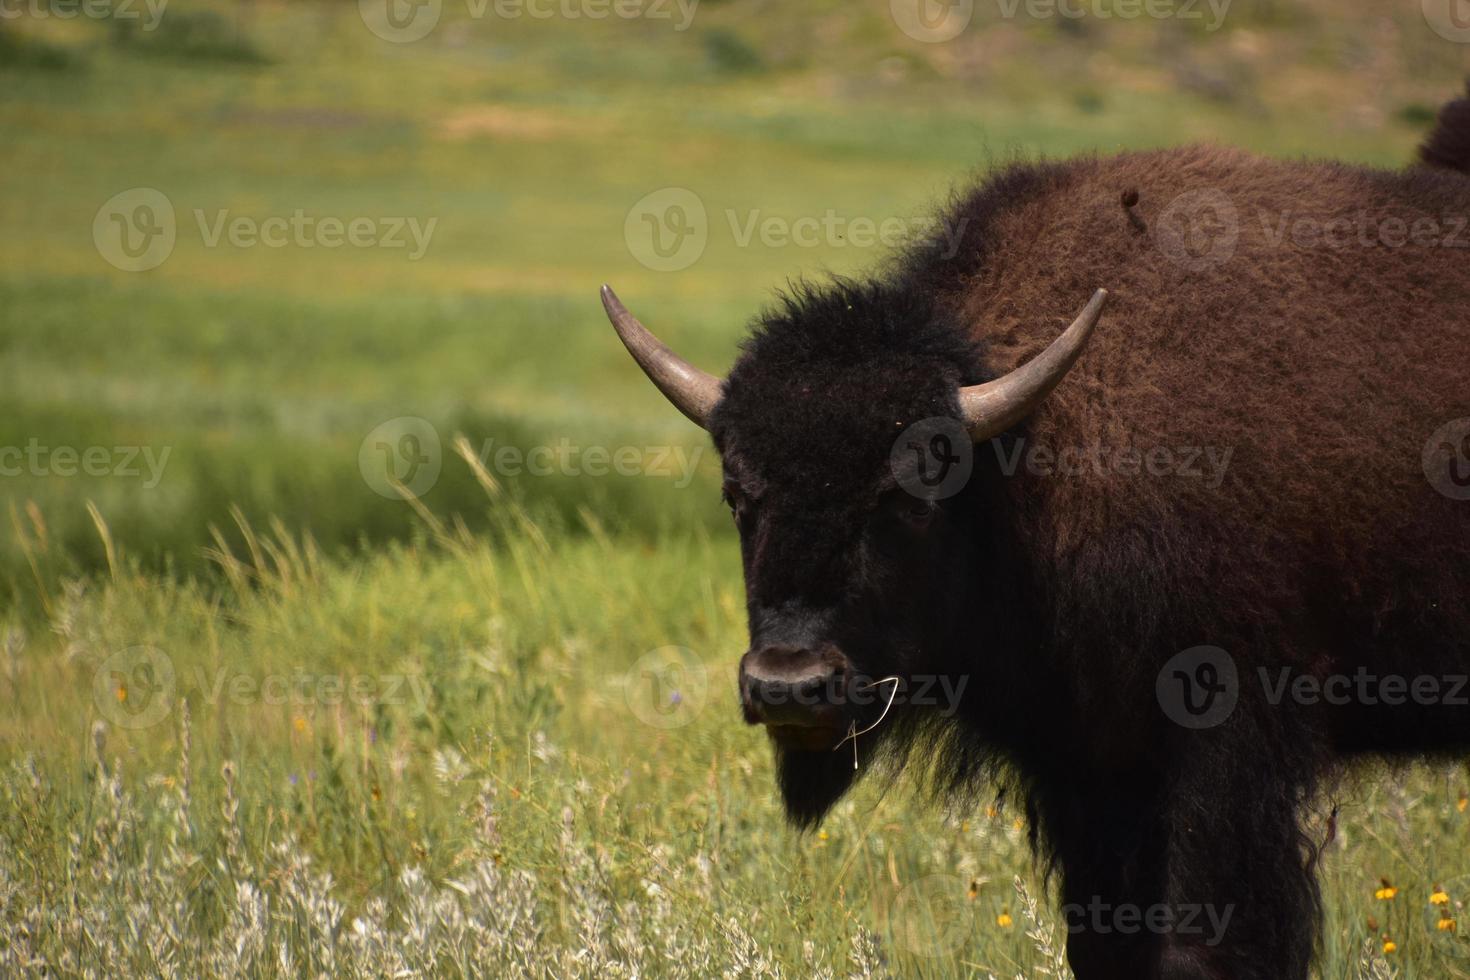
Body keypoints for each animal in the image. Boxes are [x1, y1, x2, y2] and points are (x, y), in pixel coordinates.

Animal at [596, 88, 1470, 975]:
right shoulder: (1084, 767)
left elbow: (1208, 938)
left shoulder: (1228, 746)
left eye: (913, 493)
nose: (789, 684)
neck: (1023, 464)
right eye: (738, 492)